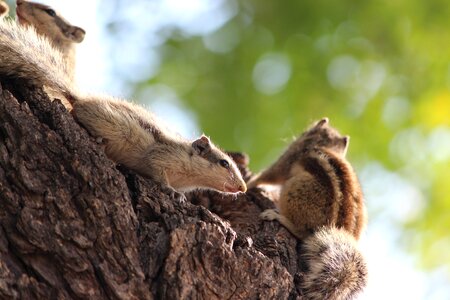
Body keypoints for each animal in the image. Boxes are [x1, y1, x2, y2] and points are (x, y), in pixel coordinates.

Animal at [0, 17, 246, 199]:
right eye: (224, 163)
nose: (242, 188)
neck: (189, 174)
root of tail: (78, 98)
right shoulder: (163, 156)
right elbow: (158, 171)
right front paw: (171, 191)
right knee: (76, 114)